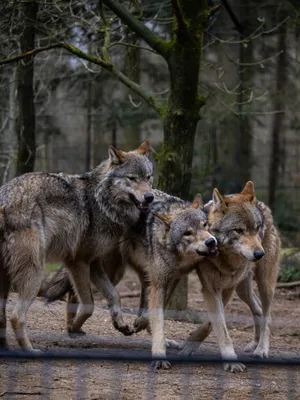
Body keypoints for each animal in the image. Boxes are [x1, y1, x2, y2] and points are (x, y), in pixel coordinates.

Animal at [0, 140, 155, 350]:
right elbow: (89, 305)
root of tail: (3, 202)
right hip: (34, 273)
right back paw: (30, 351)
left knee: (3, 317)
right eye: (132, 178)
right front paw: (73, 328)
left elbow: (114, 295)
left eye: (148, 177)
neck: (102, 202)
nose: (149, 197)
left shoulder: (94, 263)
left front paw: (120, 324)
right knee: (16, 317)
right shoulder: (77, 261)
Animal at [178, 181, 282, 372]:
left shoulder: (227, 290)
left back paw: (261, 349)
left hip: (264, 285)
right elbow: (219, 326)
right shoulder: (211, 289)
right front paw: (190, 344)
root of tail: (262, 205)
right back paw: (254, 343)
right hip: (243, 290)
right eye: (238, 230)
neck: (226, 259)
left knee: (267, 314)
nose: (259, 254)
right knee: (258, 309)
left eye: (256, 228)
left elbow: (212, 324)